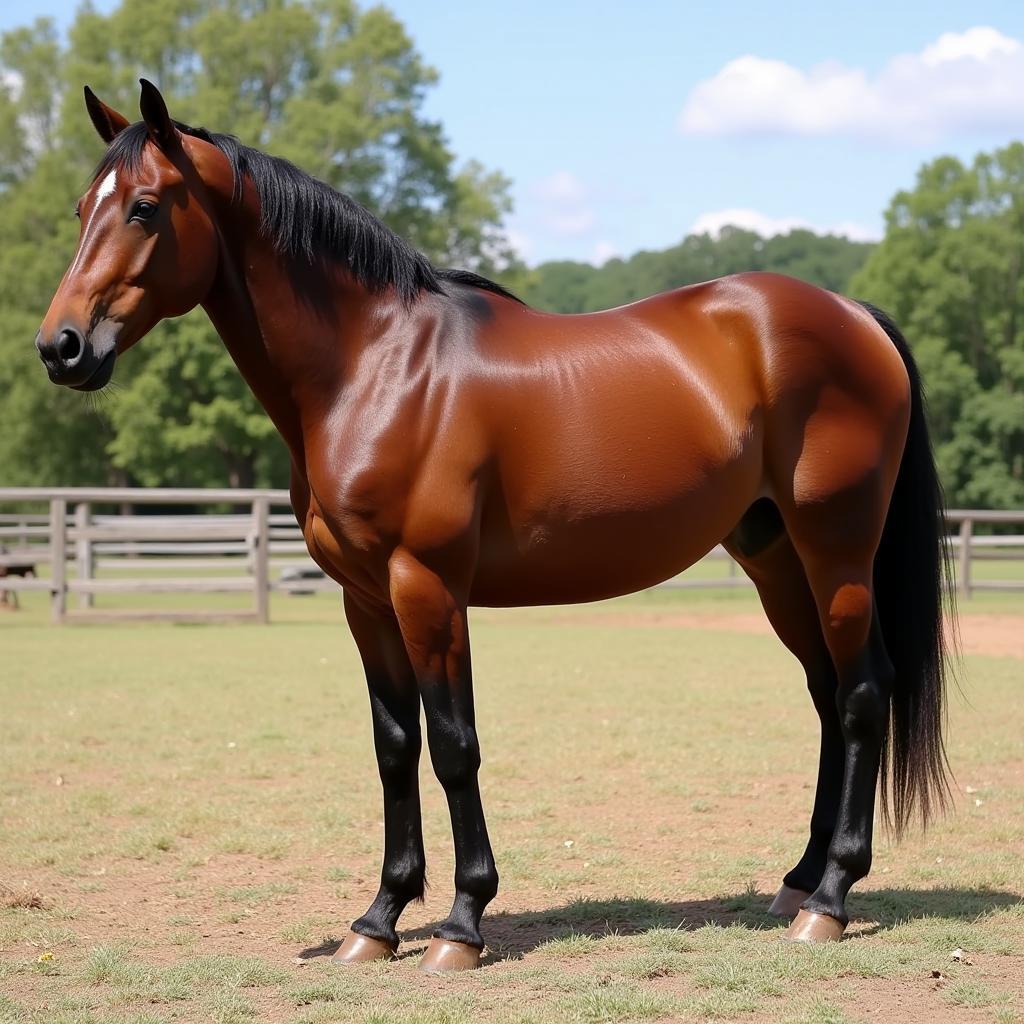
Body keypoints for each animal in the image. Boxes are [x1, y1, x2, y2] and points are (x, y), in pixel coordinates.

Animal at [36, 79, 954, 966]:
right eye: (82, 208)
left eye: (144, 207)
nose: (62, 347)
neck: (377, 368)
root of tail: (853, 314)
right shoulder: (365, 601)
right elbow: (395, 746)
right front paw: (377, 920)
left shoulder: (428, 588)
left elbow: (453, 743)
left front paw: (460, 922)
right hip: (774, 556)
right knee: (827, 695)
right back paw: (798, 882)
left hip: (836, 551)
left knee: (864, 693)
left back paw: (831, 899)